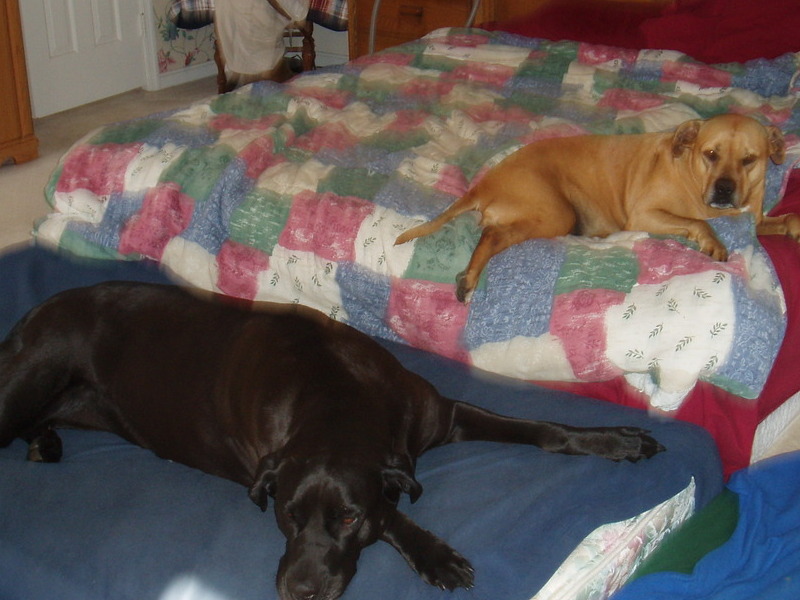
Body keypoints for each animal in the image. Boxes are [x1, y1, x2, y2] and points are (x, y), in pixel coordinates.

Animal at [0, 284, 664, 600]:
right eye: (286, 515)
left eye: (347, 519)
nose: (301, 591)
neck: (336, 397)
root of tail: (31, 313)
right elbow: (394, 513)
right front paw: (435, 555)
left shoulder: (443, 414)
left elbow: (541, 430)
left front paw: (615, 440)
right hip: (30, 381)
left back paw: (45, 444)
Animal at [396, 116, 796, 304]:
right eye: (710, 154)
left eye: (749, 160)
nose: (725, 189)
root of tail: (485, 183)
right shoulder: (646, 215)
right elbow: (699, 221)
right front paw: (713, 241)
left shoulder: (754, 217)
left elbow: (779, 220)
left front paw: (791, 225)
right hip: (556, 214)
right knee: (491, 236)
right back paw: (469, 278)